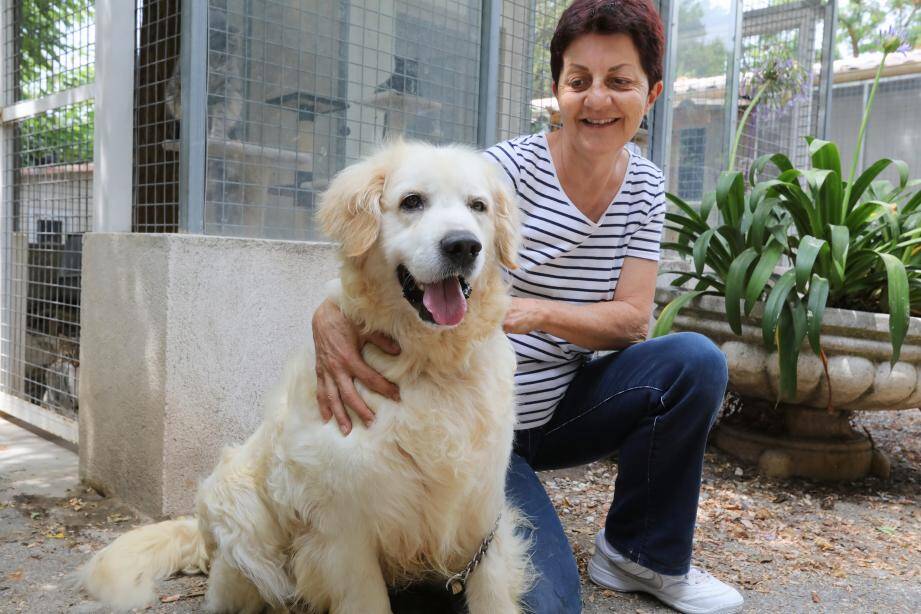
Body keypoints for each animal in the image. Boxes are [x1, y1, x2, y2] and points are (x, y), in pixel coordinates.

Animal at [79, 141, 532, 614]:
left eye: (477, 206)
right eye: (412, 202)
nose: (463, 246)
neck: (430, 364)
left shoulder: (482, 512)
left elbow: (492, 591)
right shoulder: (347, 529)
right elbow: (366, 598)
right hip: (241, 511)